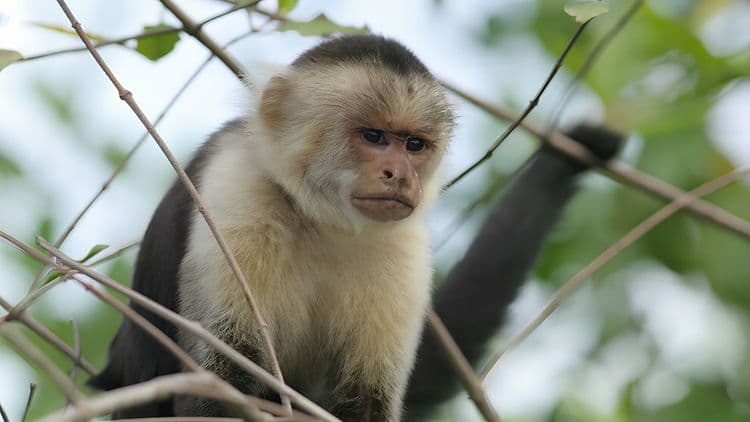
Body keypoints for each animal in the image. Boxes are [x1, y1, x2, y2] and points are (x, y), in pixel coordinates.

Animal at [89, 33, 623, 420]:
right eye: (373, 136)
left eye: (414, 145)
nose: (399, 175)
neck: (322, 220)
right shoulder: (234, 190)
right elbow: (220, 385)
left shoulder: (404, 244)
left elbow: (365, 400)